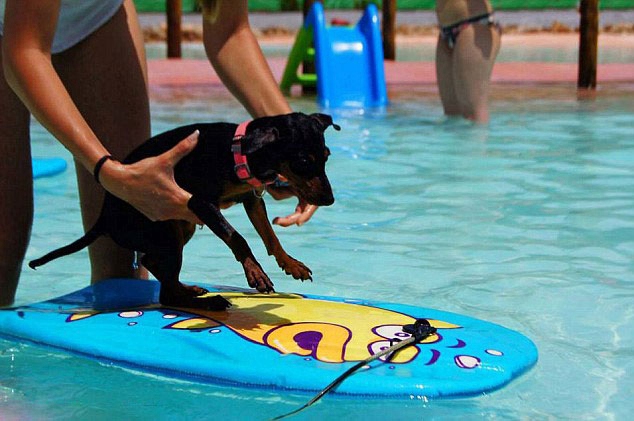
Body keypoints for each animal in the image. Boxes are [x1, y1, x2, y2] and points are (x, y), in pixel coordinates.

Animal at [29, 111, 338, 308]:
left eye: (326, 156)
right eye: (303, 161)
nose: (329, 200)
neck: (237, 152)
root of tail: (103, 218)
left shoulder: (251, 199)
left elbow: (270, 236)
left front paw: (291, 264)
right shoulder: (201, 203)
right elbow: (237, 237)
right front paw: (255, 272)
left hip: (180, 226)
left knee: (155, 266)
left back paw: (189, 290)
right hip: (166, 226)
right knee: (165, 291)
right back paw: (208, 302)